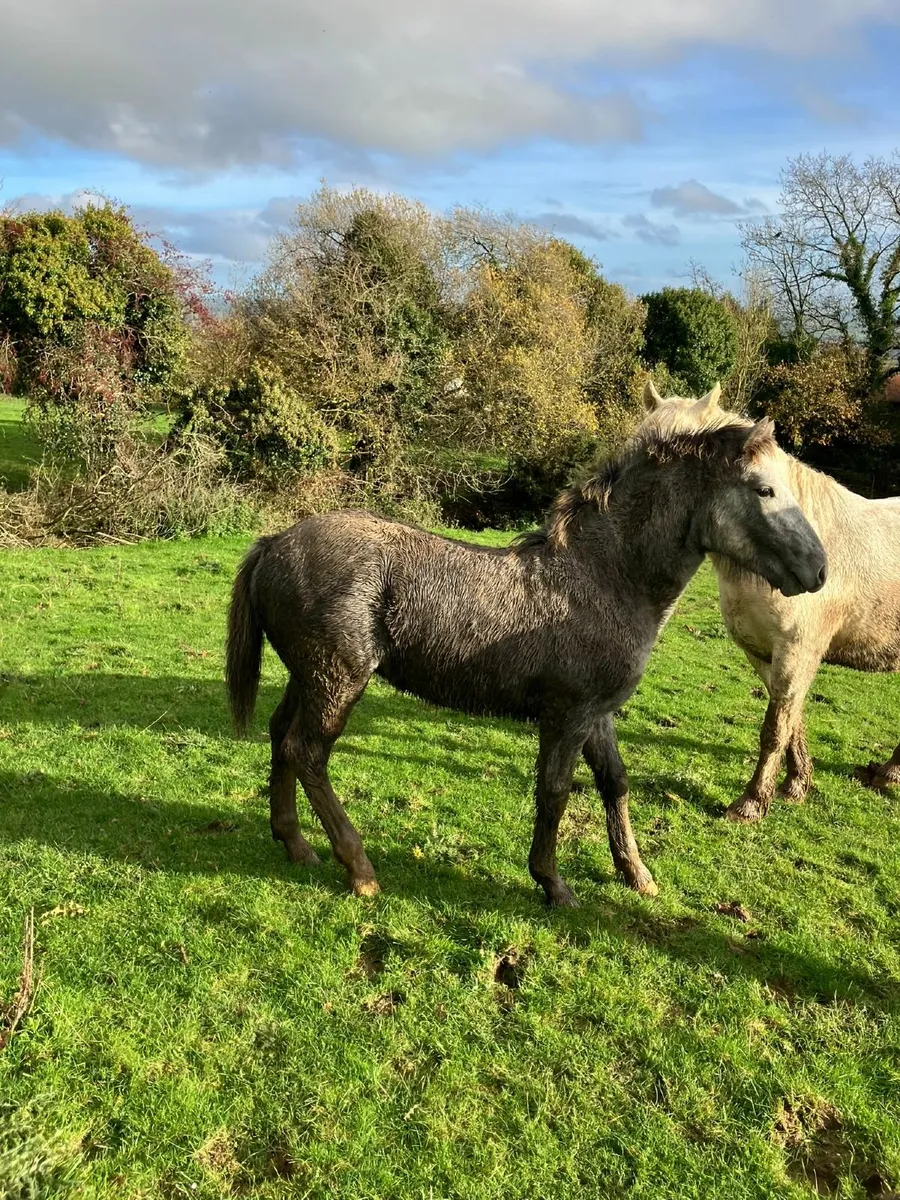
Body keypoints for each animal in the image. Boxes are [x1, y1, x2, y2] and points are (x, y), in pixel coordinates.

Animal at [225, 412, 826, 906]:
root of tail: (274, 542)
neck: (604, 579)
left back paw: (295, 844)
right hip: (338, 679)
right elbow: (555, 792)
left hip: (307, 677)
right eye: (764, 489)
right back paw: (360, 868)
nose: (818, 569)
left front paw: (637, 874)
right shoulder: (567, 714)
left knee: (280, 736)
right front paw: (553, 883)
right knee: (308, 753)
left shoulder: (598, 713)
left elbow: (615, 782)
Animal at [641, 379, 900, 822]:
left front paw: (751, 803)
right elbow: (792, 722)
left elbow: (775, 728)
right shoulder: (763, 653)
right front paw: (796, 786)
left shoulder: (797, 653)